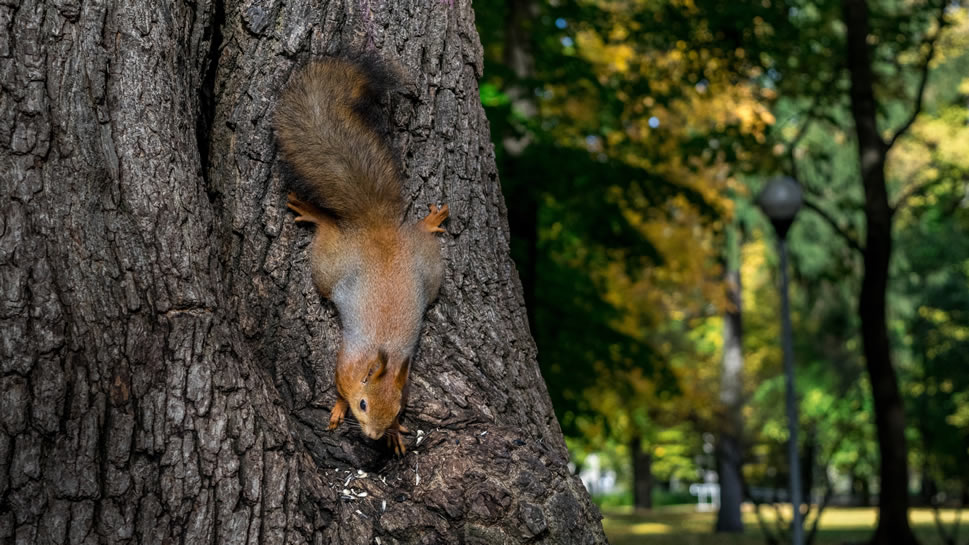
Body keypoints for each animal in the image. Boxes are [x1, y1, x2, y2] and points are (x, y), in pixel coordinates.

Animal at [274, 57, 448, 452]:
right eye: (364, 404)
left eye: (399, 409)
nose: (373, 435)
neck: (382, 356)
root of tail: (377, 229)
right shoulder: (346, 363)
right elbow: (339, 388)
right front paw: (339, 409)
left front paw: (395, 434)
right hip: (331, 266)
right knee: (327, 238)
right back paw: (318, 216)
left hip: (428, 269)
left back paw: (429, 222)